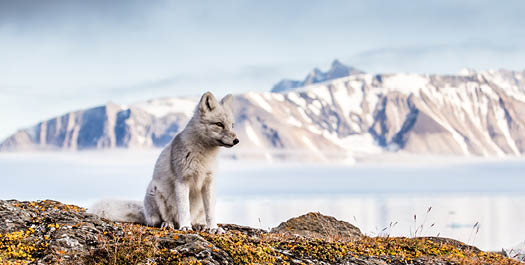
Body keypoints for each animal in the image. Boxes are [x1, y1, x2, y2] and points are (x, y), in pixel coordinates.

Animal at [89, 92, 238, 232]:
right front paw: (185, 227)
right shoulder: (182, 181)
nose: (237, 141)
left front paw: (213, 228)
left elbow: (210, 213)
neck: (204, 155)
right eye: (219, 124)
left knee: (197, 218)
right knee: (161, 220)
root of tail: (145, 212)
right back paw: (169, 224)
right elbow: (184, 209)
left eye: (232, 125)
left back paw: (199, 225)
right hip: (155, 192)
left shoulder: (208, 182)